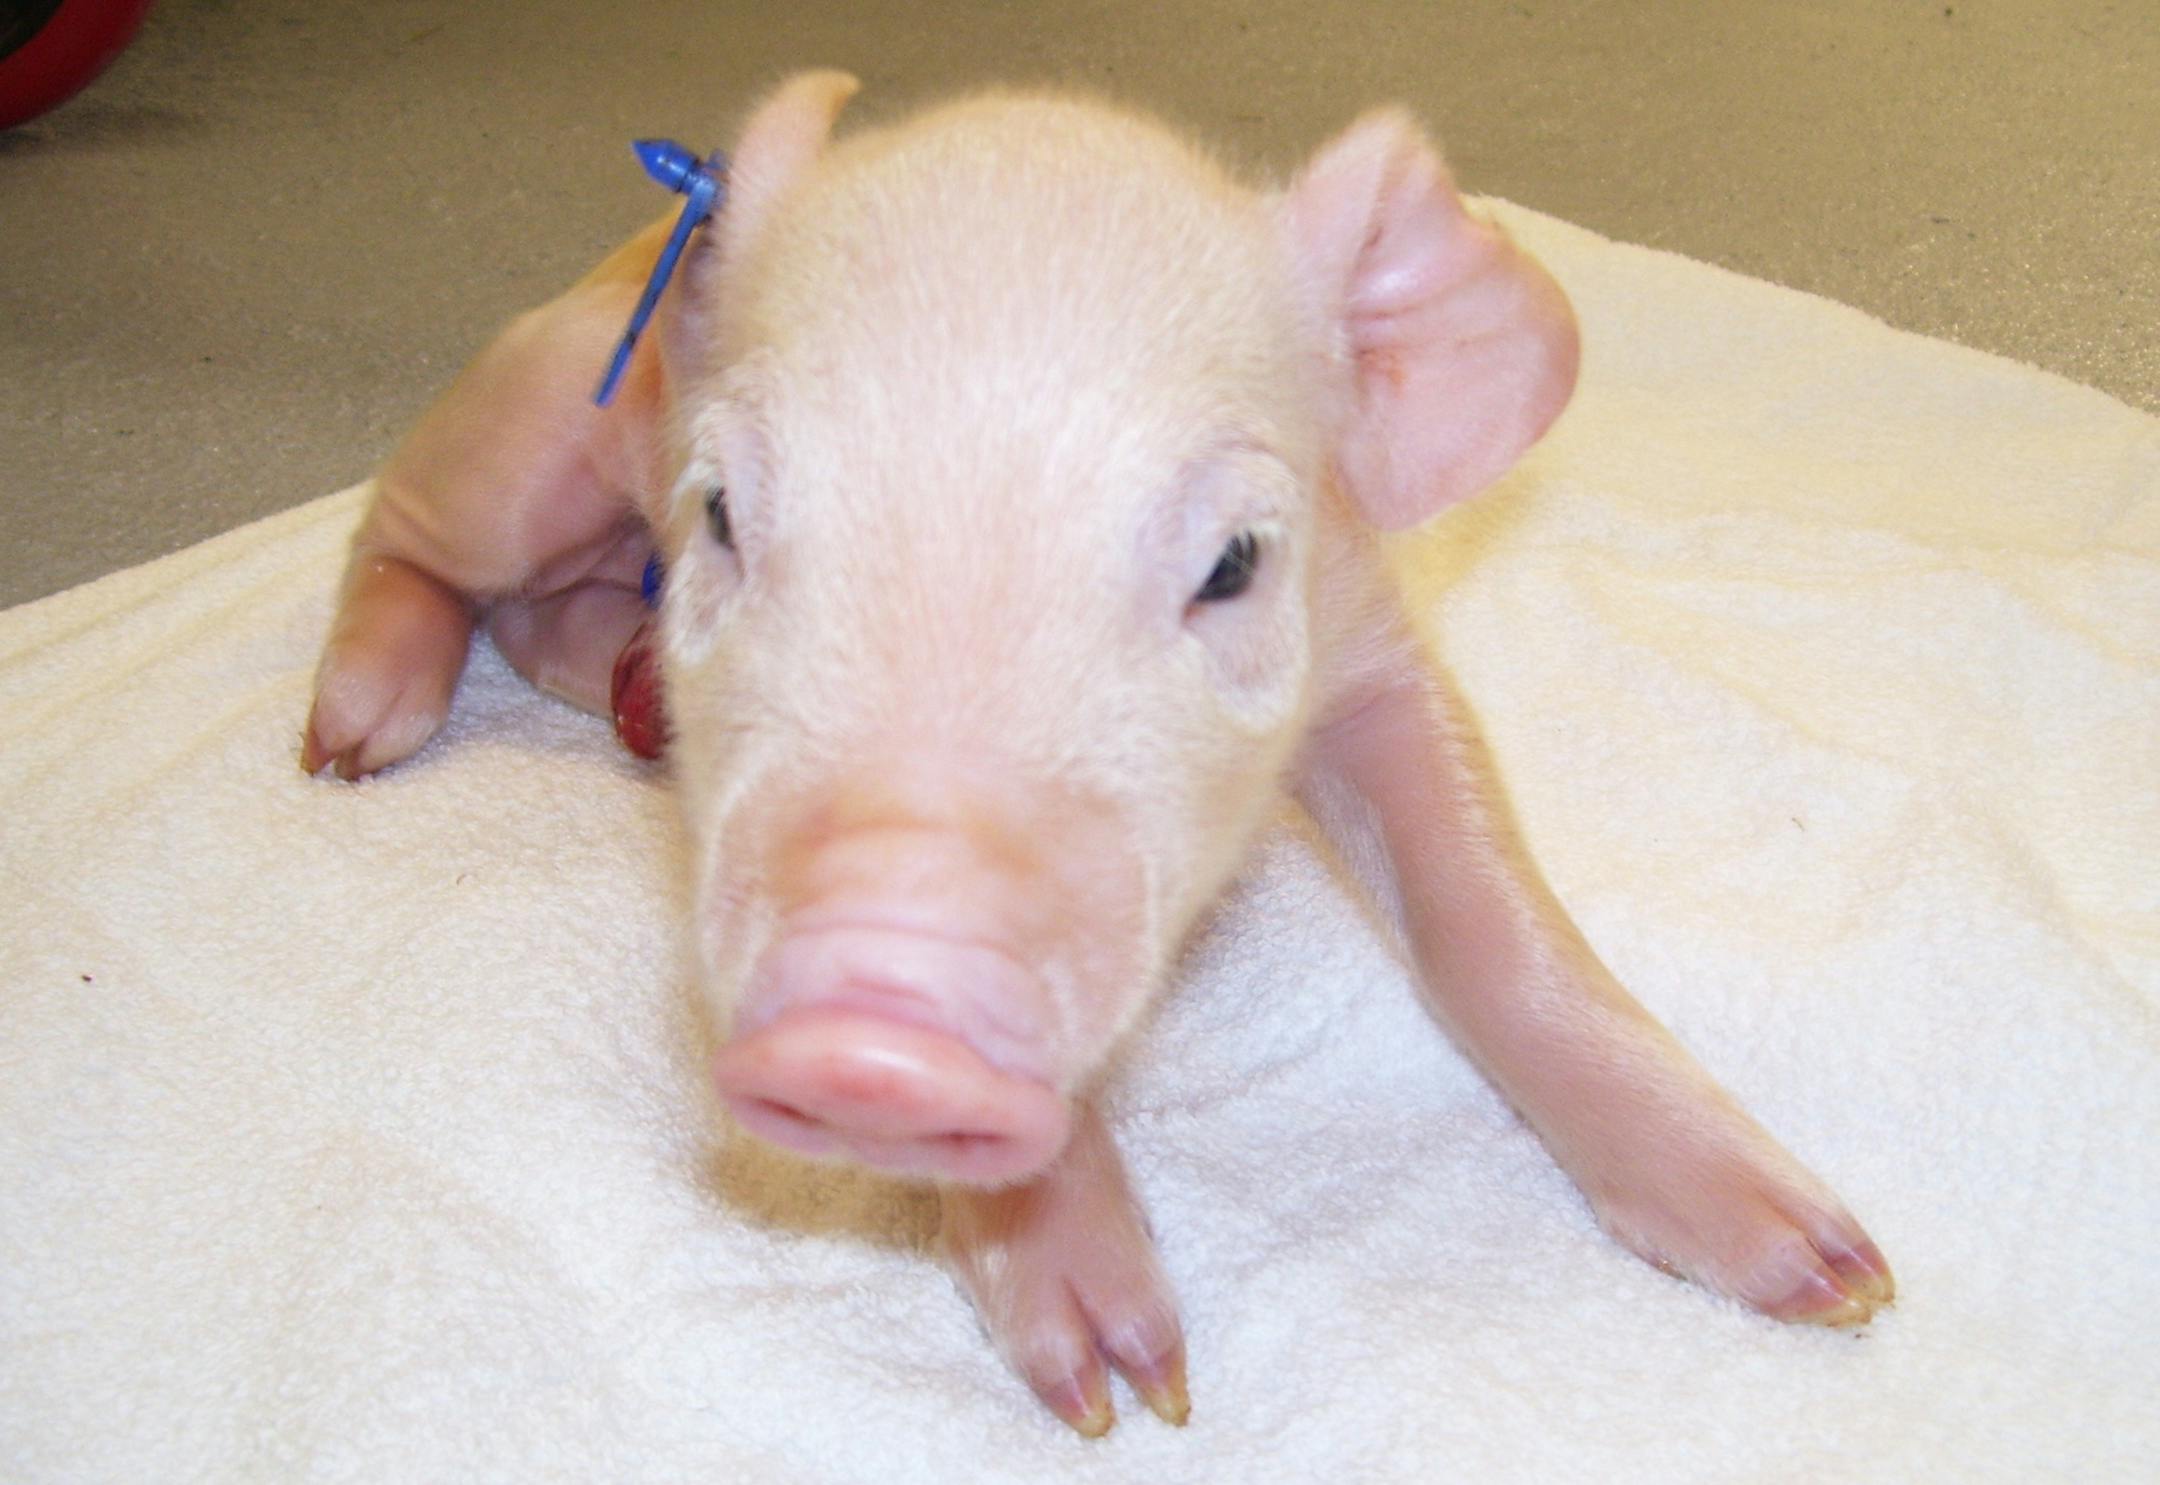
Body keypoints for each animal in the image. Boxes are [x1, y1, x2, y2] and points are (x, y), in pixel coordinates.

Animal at [303, 71, 1894, 1435]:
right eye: (721, 515)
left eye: (1234, 562)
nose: (874, 1022)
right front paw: (1130, 1395)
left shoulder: (1373, 637)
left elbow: (1483, 914)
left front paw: (1838, 1282)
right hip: (526, 426)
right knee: (405, 529)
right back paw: (353, 741)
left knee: (537, 618)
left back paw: (620, 698)